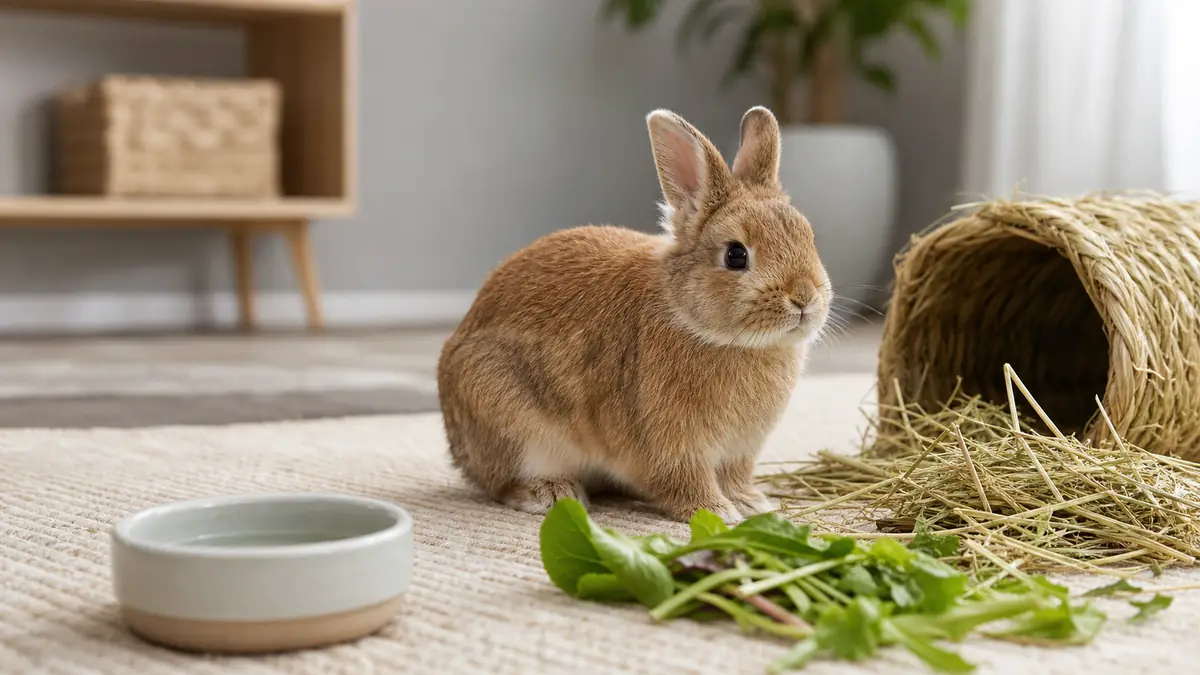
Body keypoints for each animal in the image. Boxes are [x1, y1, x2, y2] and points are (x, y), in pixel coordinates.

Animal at [436, 106, 832, 523]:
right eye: (736, 255)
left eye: (808, 237)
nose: (804, 298)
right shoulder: (669, 445)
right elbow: (685, 480)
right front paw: (716, 511)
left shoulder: (739, 452)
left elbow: (735, 476)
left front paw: (751, 502)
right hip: (512, 425)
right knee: (503, 483)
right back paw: (551, 492)